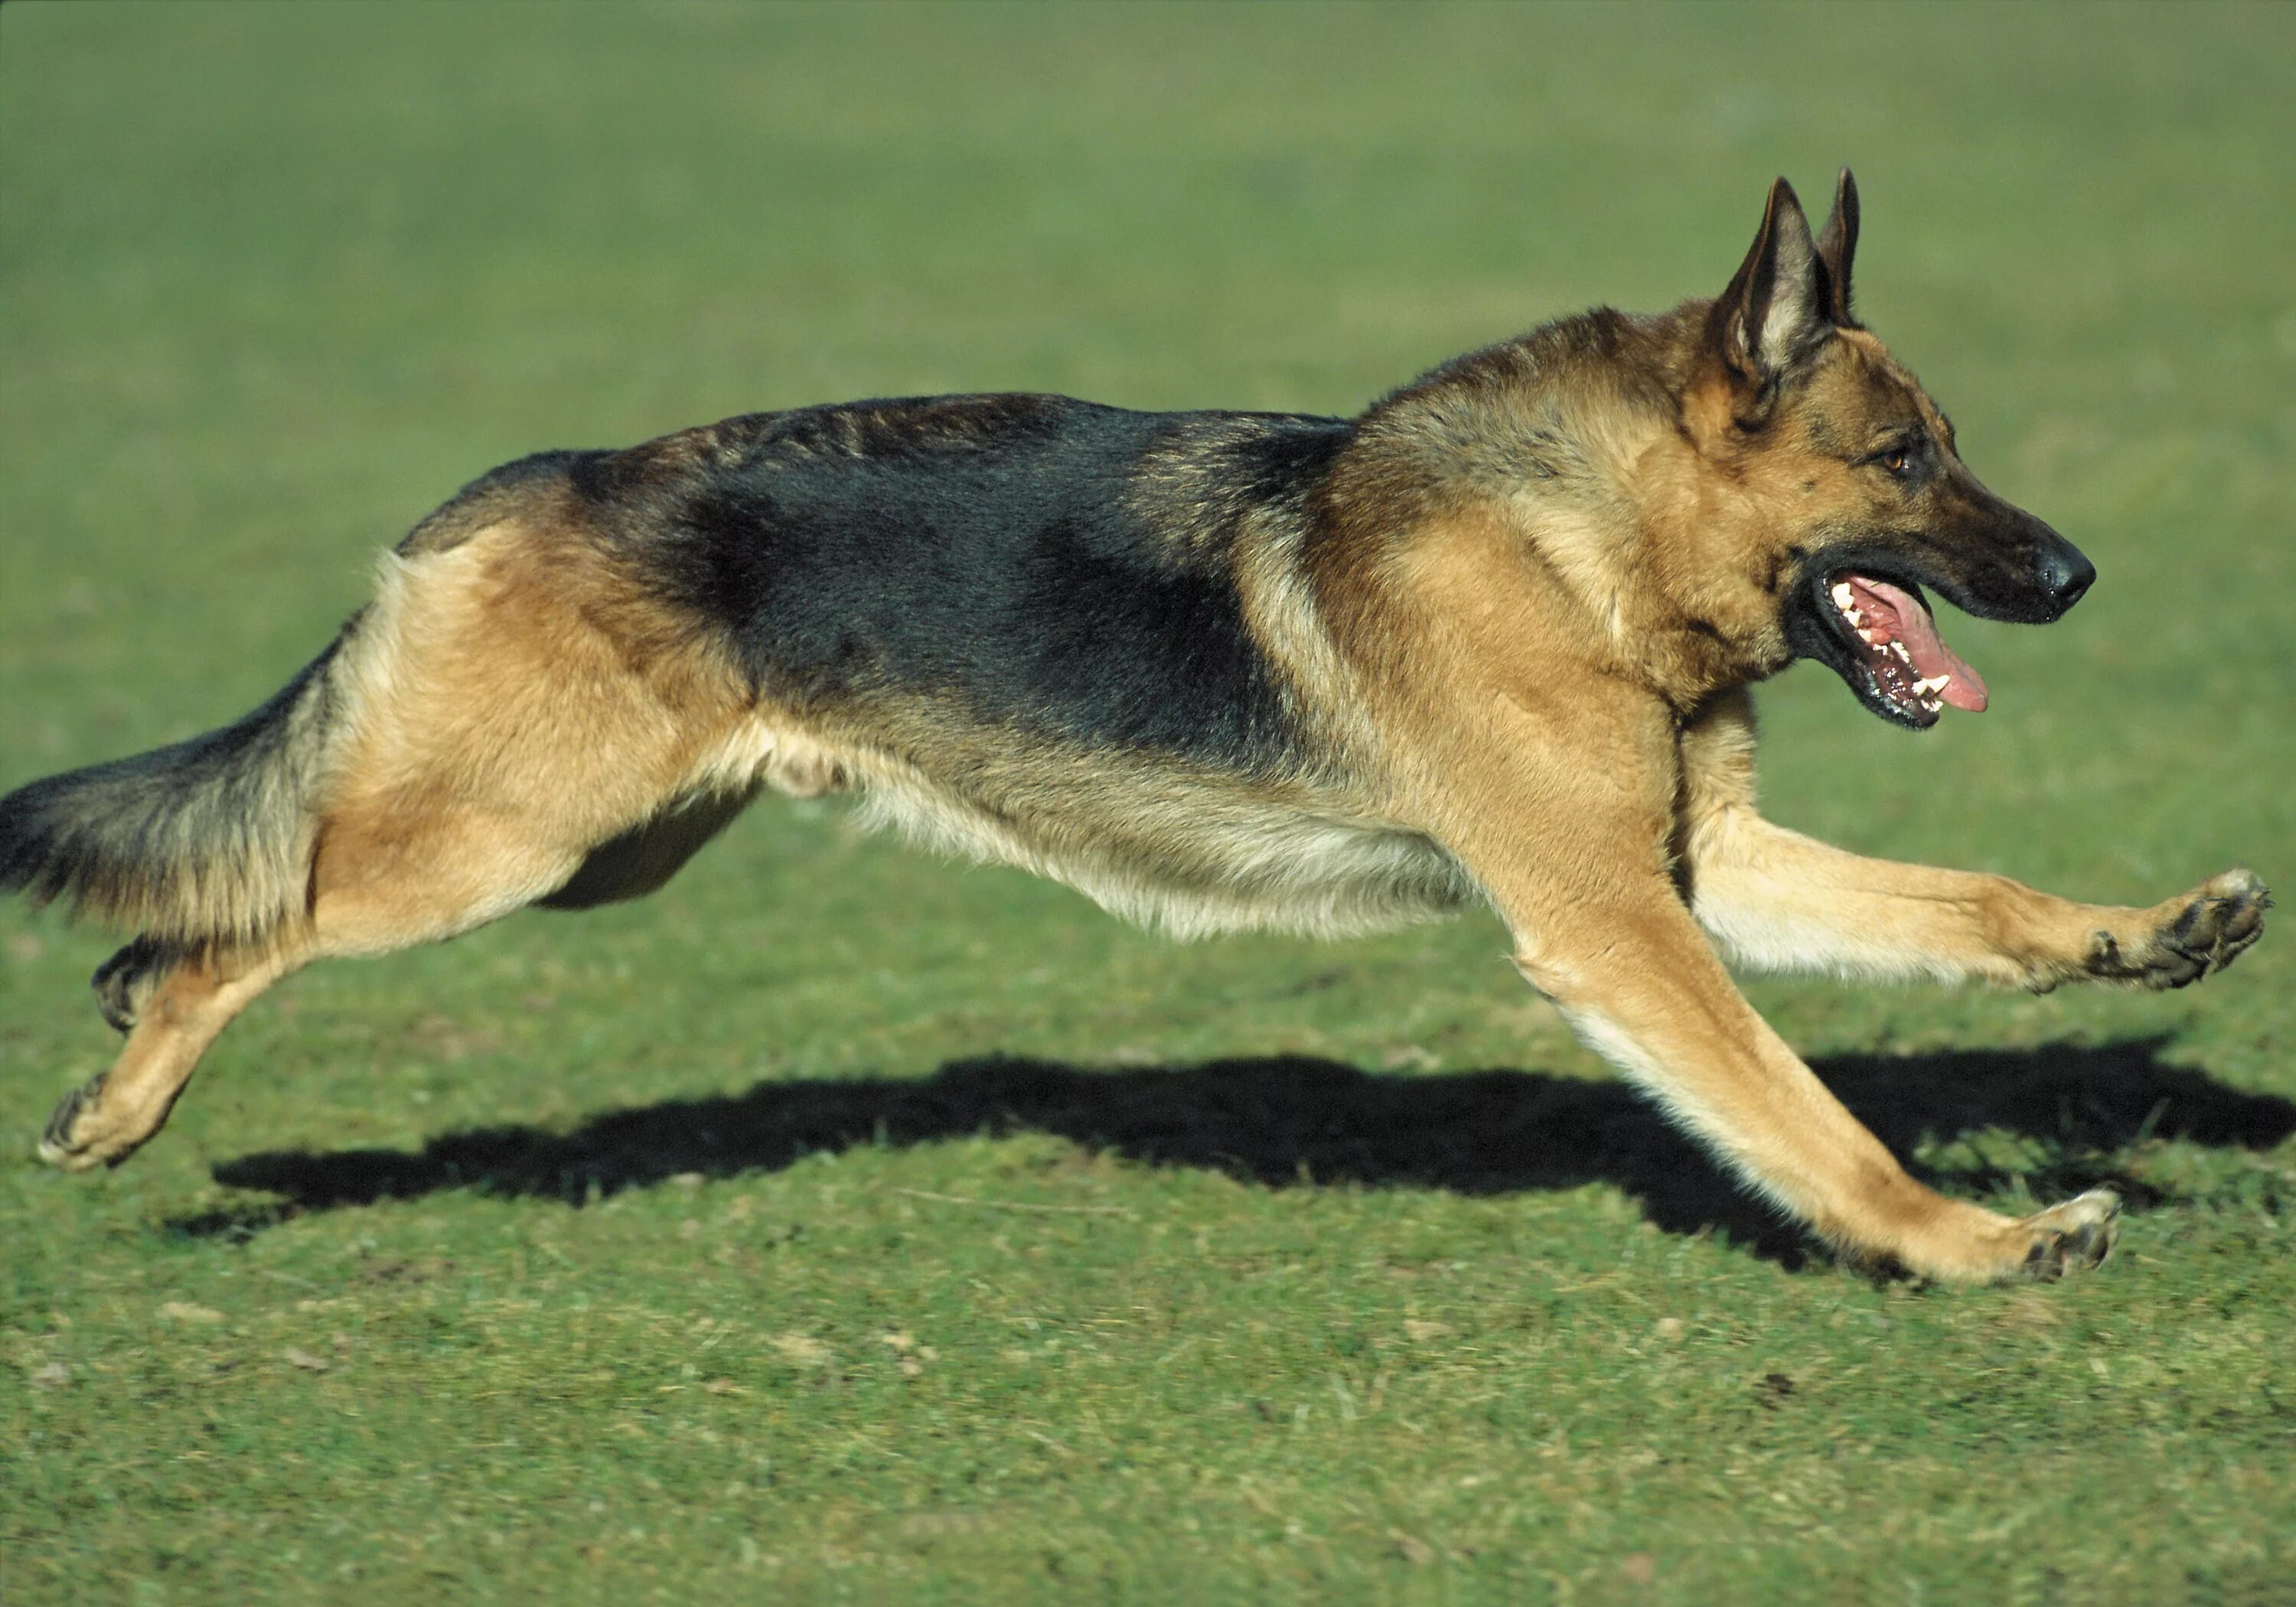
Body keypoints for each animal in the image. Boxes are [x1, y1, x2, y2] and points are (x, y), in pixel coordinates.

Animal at [0, 172, 2259, 1276]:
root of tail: (522, 478)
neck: (1579, 546)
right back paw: (119, 1101)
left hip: (597, 857)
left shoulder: (1706, 871)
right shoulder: (1618, 925)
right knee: (234, 919)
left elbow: (1976, 899)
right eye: (1906, 460)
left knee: (216, 907)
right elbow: (1813, 1121)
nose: (2077, 577)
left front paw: (2145, 938)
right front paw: (1970, 1244)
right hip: (500, 850)